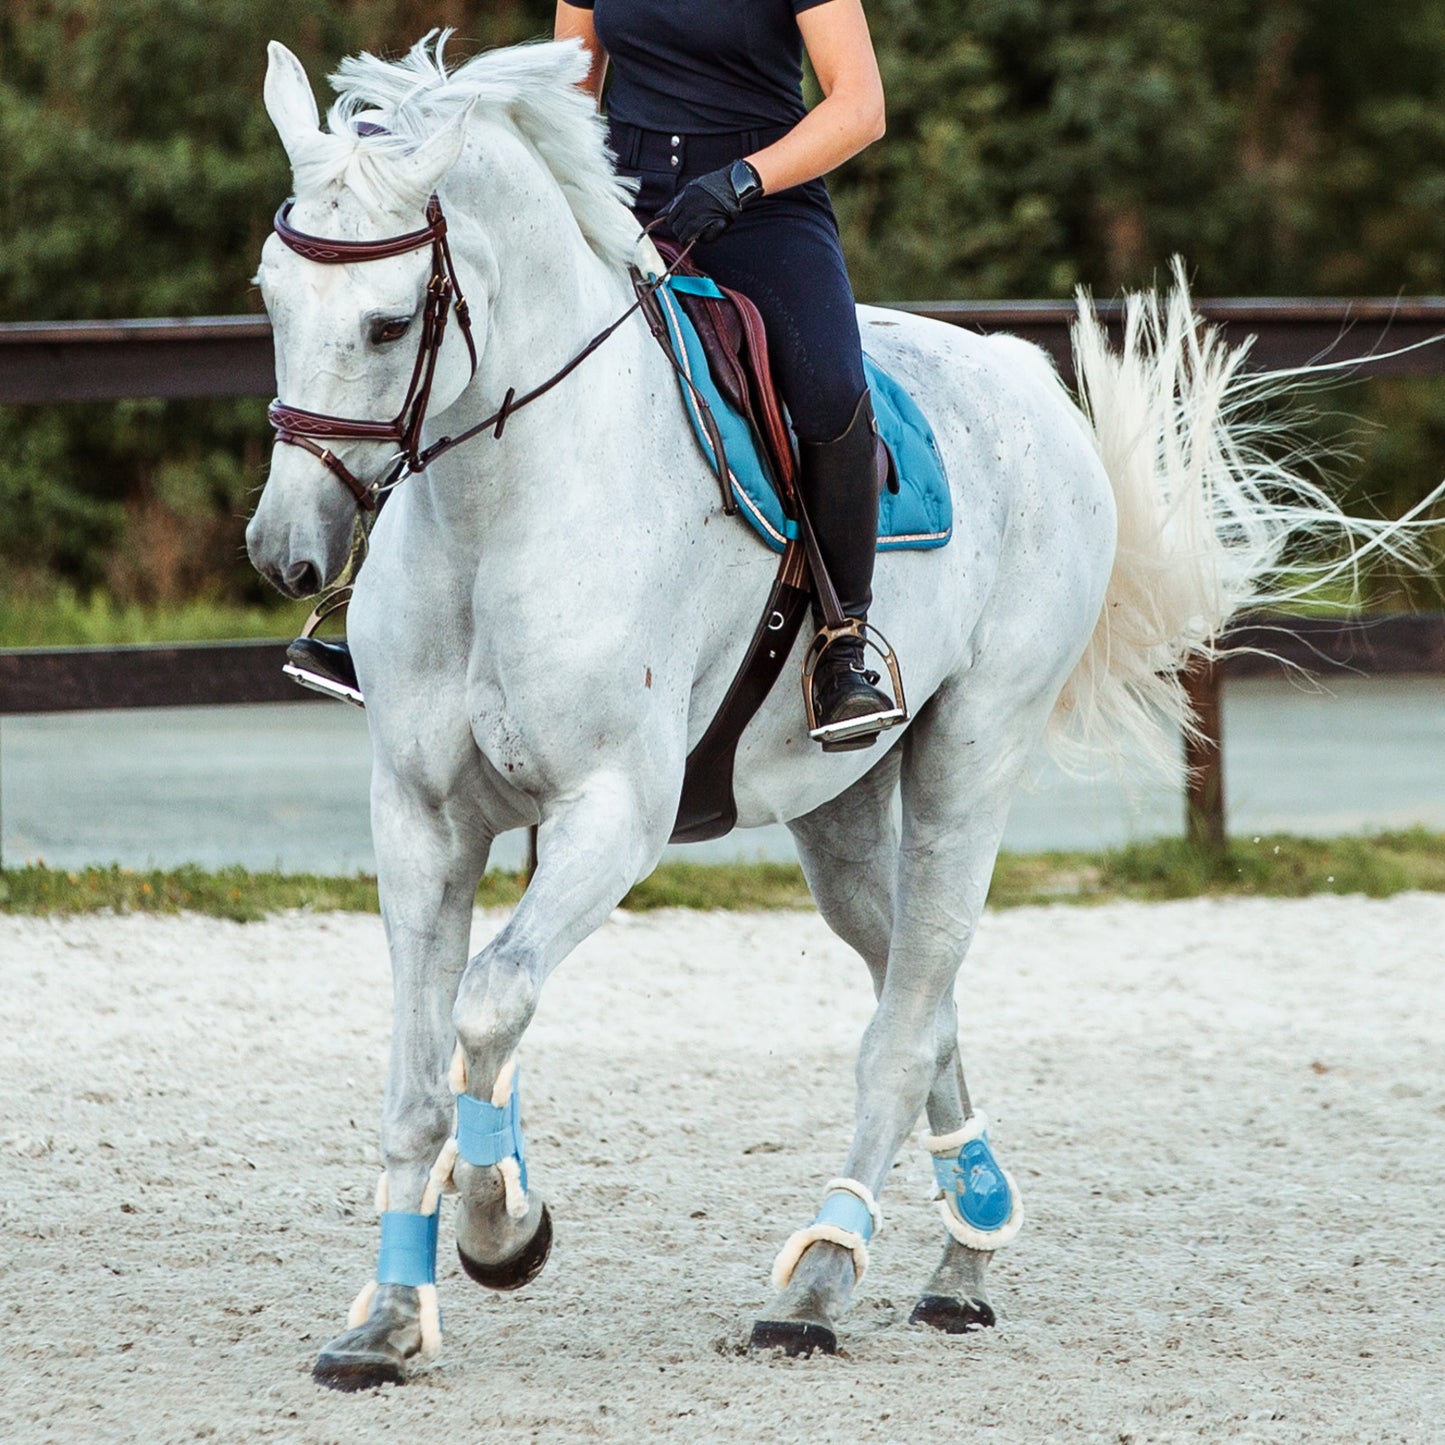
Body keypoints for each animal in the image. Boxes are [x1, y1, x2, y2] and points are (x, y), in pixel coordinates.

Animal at [251, 36, 1364, 1387]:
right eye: (269, 297)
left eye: (388, 319)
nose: (286, 553)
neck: (502, 507)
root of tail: (1018, 378)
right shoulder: (420, 817)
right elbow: (420, 1076)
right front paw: (387, 1317)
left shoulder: (613, 812)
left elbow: (490, 999)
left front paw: (502, 1228)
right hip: (836, 806)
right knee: (917, 995)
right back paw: (966, 1243)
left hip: (969, 758)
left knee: (905, 1015)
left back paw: (823, 1277)